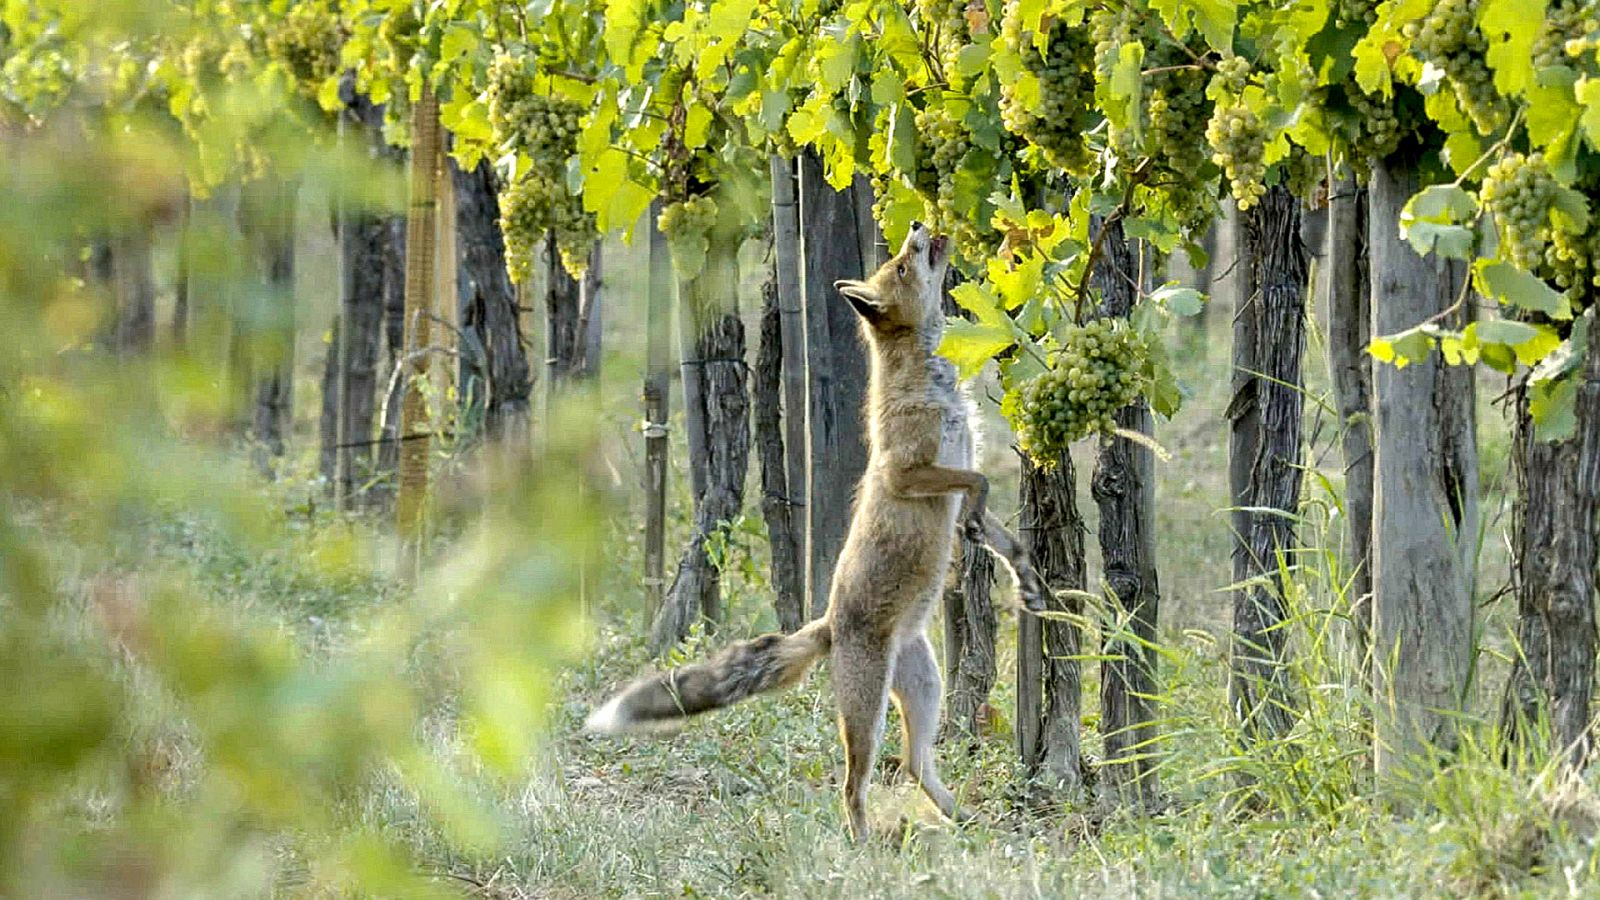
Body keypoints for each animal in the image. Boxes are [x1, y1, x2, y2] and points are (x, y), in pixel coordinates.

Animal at [582, 220, 1043, 839]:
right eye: (903, 265)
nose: (917, 225)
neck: (926, 382)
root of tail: (826, 625)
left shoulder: (955, 464)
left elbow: (997, 524)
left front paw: (1024, 575)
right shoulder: (907, 472)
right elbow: (978, 483)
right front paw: (976, 526)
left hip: (925, 687)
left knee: (916, 765)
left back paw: (962, 818)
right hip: (869, 713)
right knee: (854, 785)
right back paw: (865, 843)